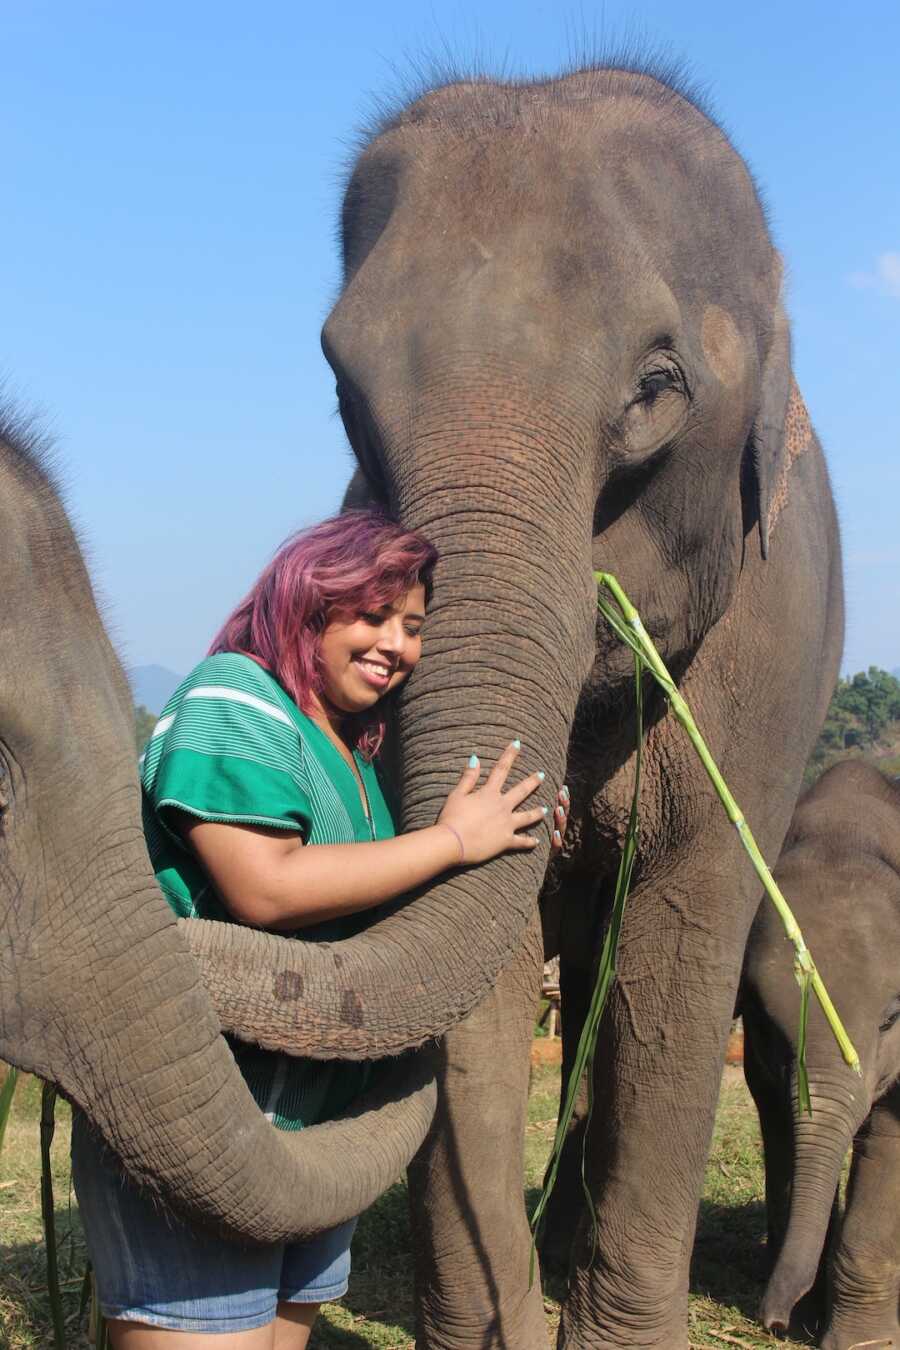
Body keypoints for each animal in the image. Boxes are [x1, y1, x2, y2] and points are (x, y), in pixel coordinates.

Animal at [0, 58, 847, 1350]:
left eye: (657, 387)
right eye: (347, 393)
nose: (525, 1322)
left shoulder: (775, 640)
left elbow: (684, 936)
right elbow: (476, 959)